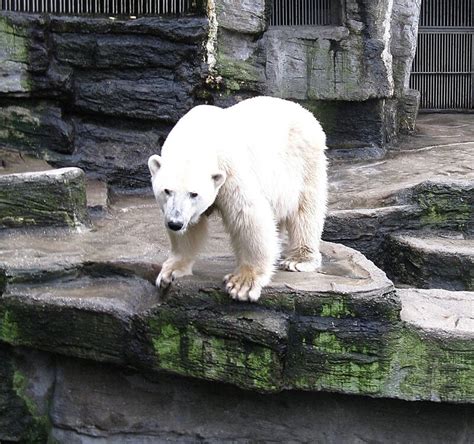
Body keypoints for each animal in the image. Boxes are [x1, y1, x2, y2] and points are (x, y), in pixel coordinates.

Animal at [148, 96, 326, 304]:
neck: (199, 137)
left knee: (305, 210)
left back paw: (298, 259)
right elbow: (190, 230)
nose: (175, 223)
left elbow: (248, 216)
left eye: (194, 194)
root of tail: (303, 110)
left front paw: (243, 284)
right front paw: (169, 272)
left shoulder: (231, 171)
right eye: (167, 191)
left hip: (304, 163)